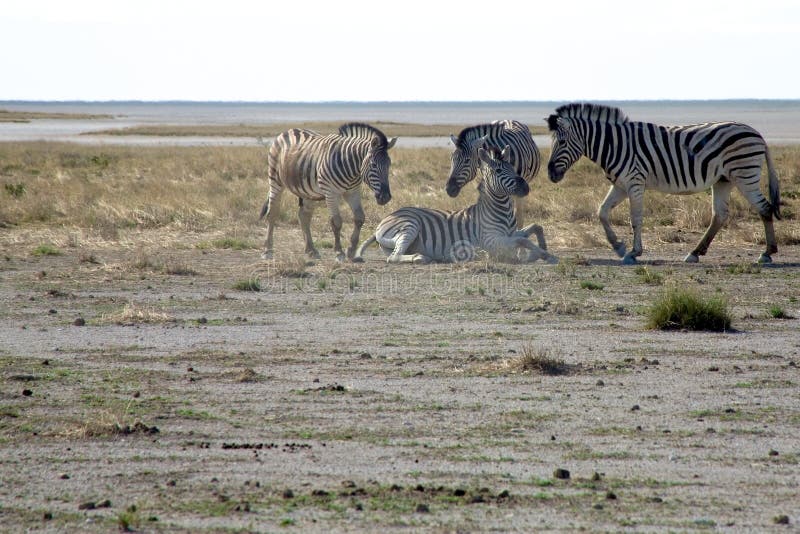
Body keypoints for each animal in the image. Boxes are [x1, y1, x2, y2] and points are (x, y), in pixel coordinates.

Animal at [259, 123, 397, 262]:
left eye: (389, 164)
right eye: (373, 165)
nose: (385, 197)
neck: (351, 169)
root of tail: (289, 130)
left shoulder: (352, 192)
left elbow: (359, 218)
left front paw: (351, 250)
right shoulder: (331, 193)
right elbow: (336, 222)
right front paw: (339, 252)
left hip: (308, 191)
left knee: (303, 216)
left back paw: (311, 250)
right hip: (275, 180)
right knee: (272, 213)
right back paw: (267, 251)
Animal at [355, 145, 557, 264]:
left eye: (513, 168)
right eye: (499, 171)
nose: (525, 187)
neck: (503, 212)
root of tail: (384, 220)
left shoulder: (510, 233)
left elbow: (535, 227)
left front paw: (541, 250)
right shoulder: (490, 240)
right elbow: (523, 240)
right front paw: (545, 256)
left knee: (394, 254)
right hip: (409, 225)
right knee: (394, 257)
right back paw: (421, 258)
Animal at [546, 103, 781, 264]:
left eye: (562, 142)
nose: (550, 174)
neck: (614, 145)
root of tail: (758, 135)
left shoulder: (634, 181)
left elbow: (635, 219)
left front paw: (633, 252)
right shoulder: (620, 185)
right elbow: (602, 212)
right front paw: (618, 246)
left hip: (745, 174)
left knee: (764, 208)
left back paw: (767, 253)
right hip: (724, 180)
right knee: (720, 215)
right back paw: (695, 253)